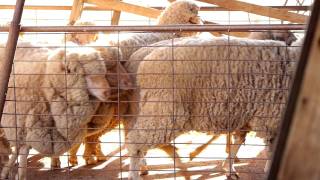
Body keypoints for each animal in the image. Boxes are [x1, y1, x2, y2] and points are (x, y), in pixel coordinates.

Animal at [0, 42, 110, 180]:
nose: (108, 92)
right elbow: (22, 155)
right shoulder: (22, 126)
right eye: (86, 75)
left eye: (103, 74)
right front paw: (16, 173)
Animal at [126, 35, 302, 179]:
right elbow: (271, 151)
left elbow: (239, 141)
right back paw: (135, 173)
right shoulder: (272, 121)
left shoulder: (246, 115)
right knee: (134, 143)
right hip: (164, 110)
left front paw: (229, 167)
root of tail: (142, 58)